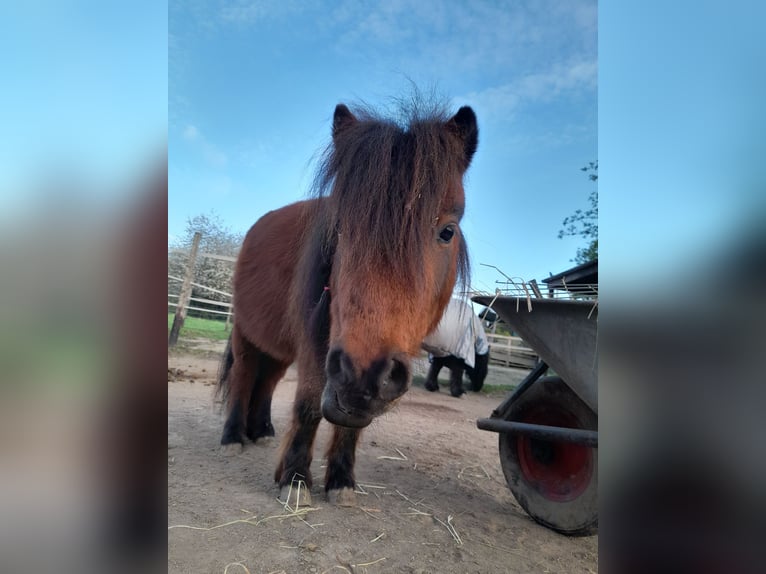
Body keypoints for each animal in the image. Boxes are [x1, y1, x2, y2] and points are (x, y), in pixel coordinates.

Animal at [218, 101, 480, 506]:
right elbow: (309, 404)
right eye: (338, 227)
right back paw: (233, 437)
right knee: (244, 377)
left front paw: (341, 480)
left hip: (279, 350)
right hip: (246, 336)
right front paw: (295, 479)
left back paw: (260, 431)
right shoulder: (316, 348)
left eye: (447, 231)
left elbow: (352, 422)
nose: (365, 372)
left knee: (267, 381)